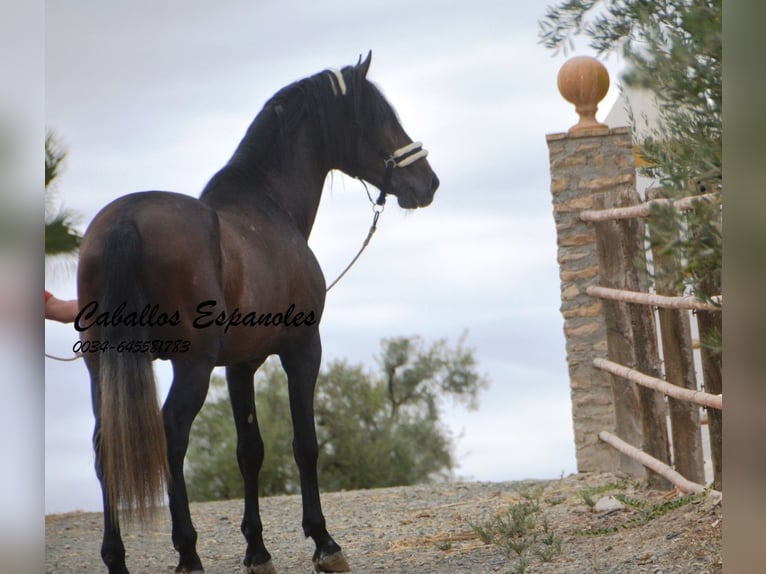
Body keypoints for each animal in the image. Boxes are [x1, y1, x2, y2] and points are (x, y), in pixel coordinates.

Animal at [76, 50, 438, 574]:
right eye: (379, 117)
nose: (428, 182)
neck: (268, 208)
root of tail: (125, 221)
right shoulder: (303, 350)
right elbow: (305, 444)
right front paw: (324, 543)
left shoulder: (239, 366)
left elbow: (250, 450)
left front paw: (257, 551)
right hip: (191, 365)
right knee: (172, 434)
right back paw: (188, 553)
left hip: (101, 365)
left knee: (108, 445)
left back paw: (116, 558)